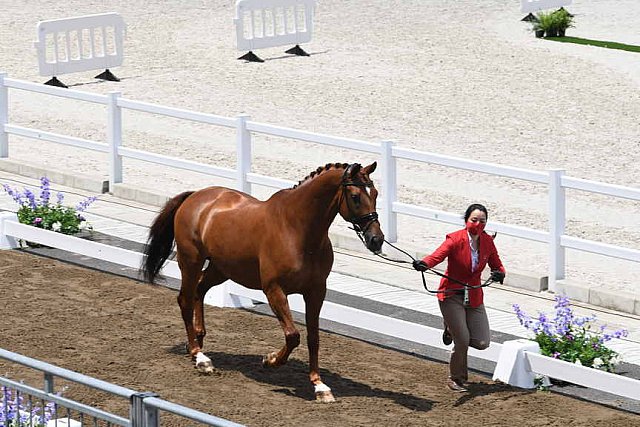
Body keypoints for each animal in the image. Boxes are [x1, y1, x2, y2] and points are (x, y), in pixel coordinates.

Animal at [140, 162, 382, 402]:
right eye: (355, 196)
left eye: (375, 193)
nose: (376, 240)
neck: (297, 229)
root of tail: (196, 196)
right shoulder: (274, 290)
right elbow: (293, 335)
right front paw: (270, 360)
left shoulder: (316, 291)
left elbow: (313, 338)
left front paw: (319, 386)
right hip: (191, 262)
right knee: (185, 300)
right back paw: (200, 357)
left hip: (222, 268)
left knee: (199, 290)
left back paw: (199, 343)